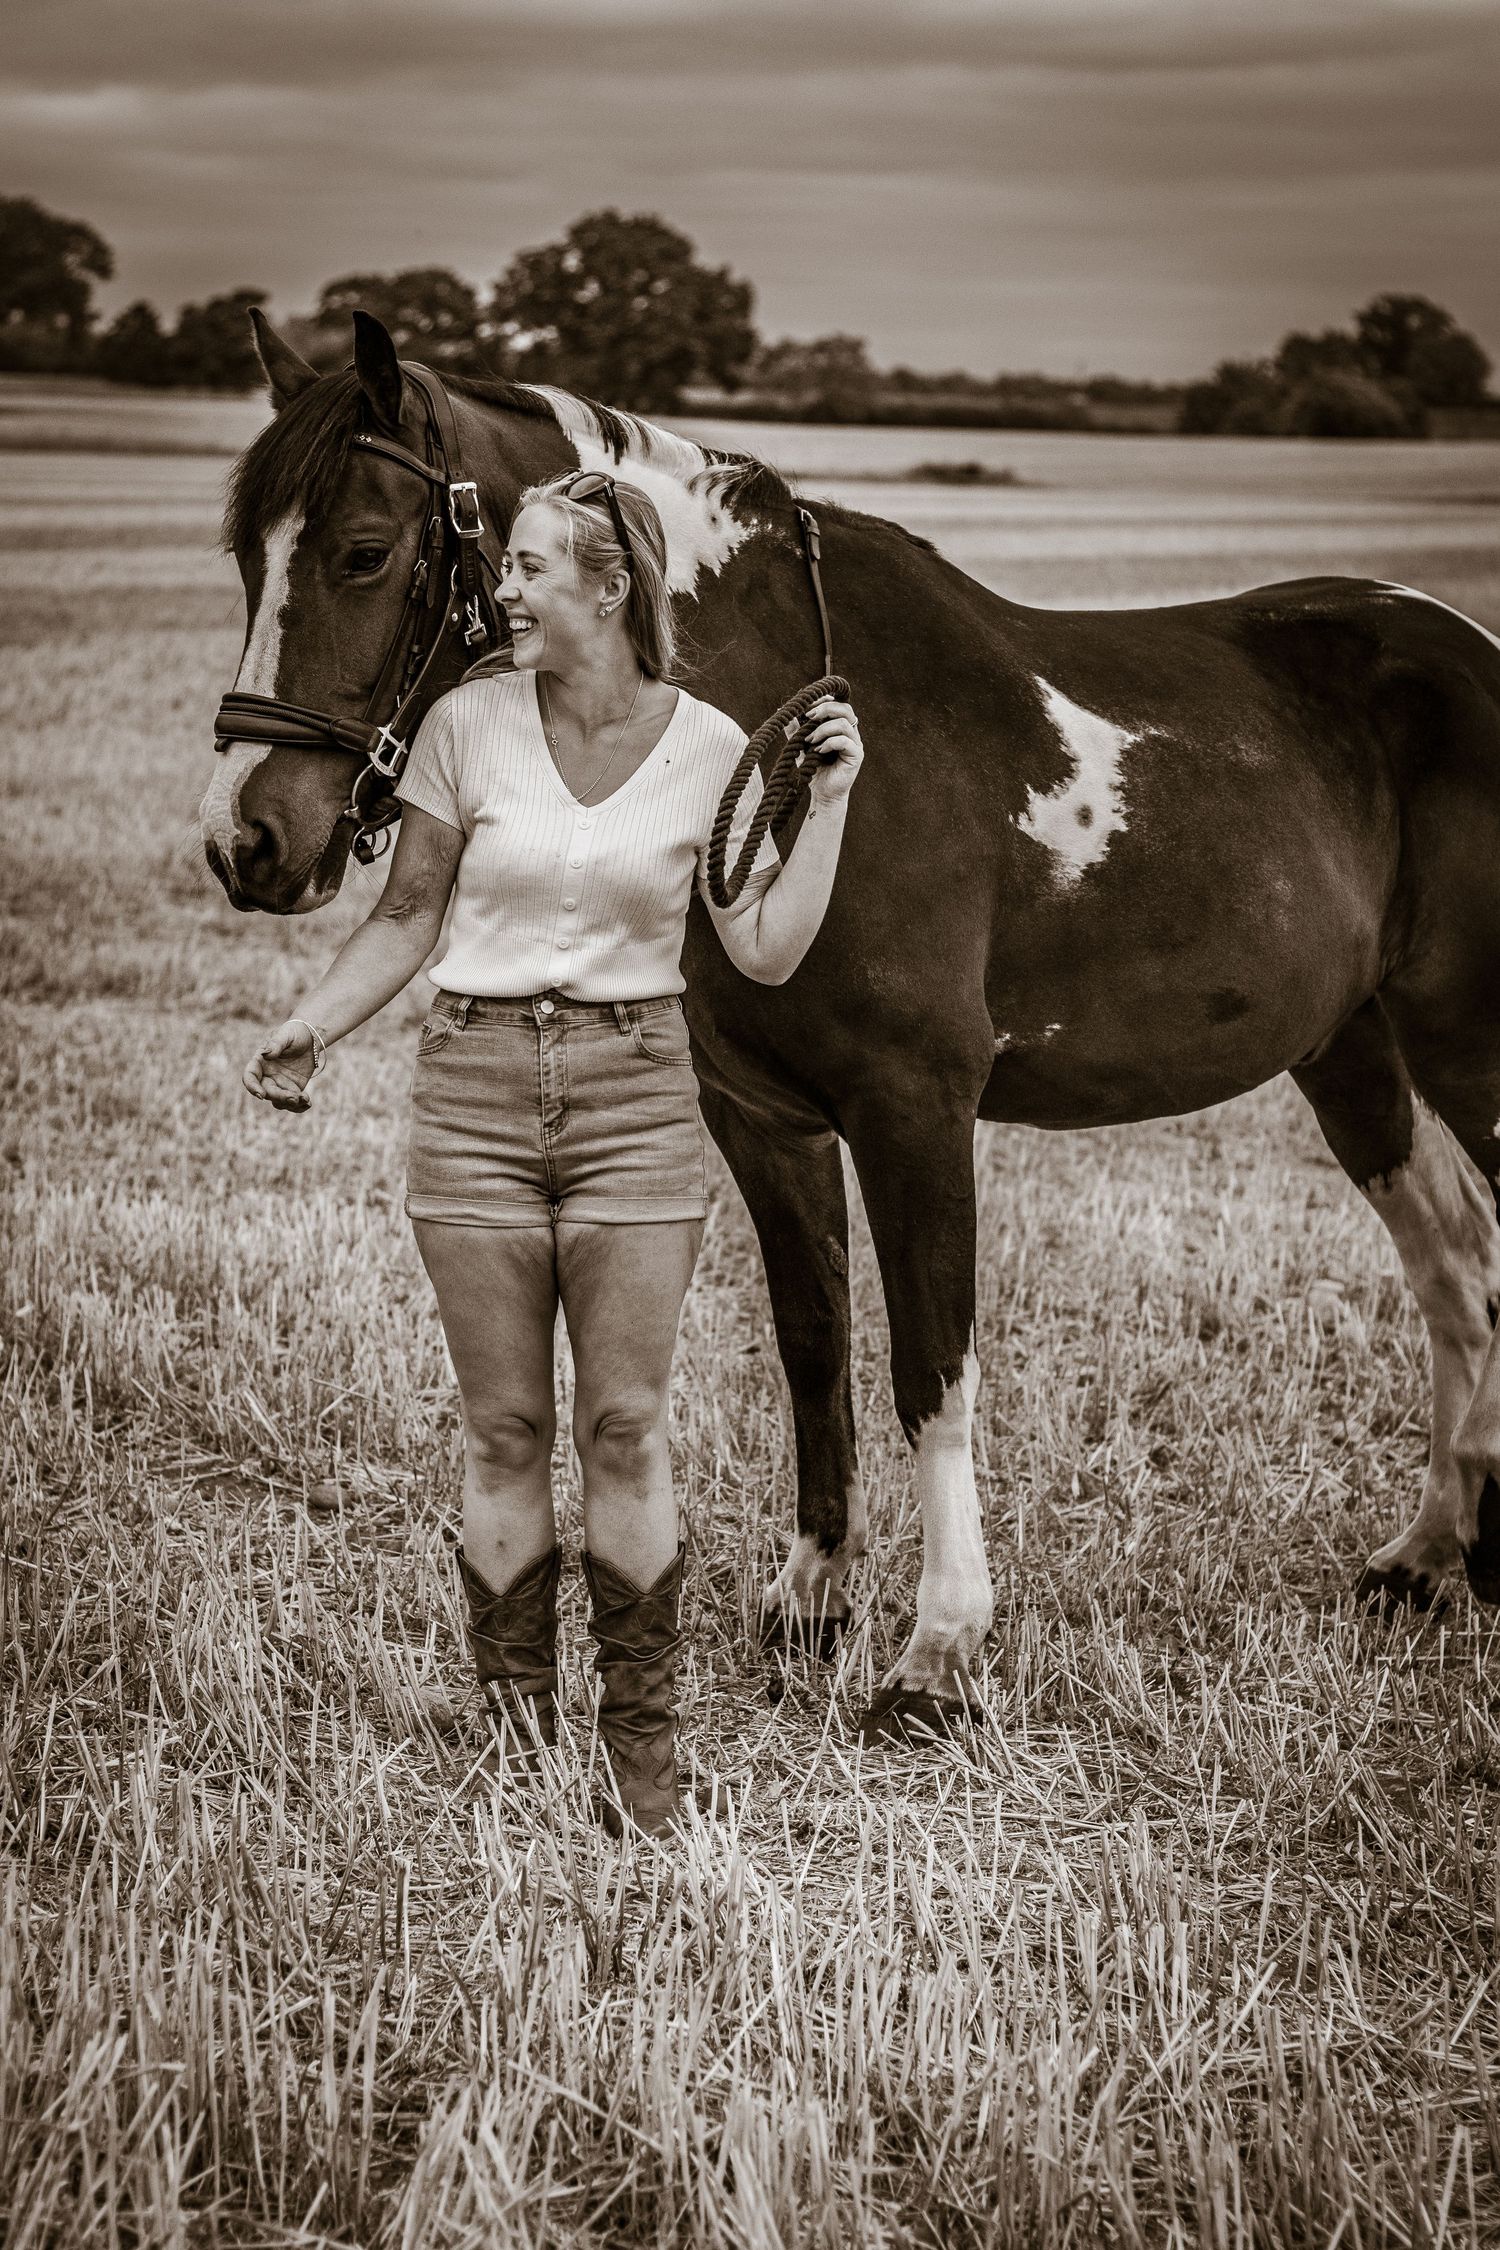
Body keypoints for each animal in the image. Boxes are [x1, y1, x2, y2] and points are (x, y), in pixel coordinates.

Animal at [202, 308, 1500, 1741]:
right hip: (1355, 1048)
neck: (803, 740)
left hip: (1467, 1041)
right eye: (247, 558)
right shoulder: (763, 1118)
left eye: (365, 552)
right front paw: (812, 1599)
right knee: (1456, 1263)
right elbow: (814, 1342)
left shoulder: (915, 1109)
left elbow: (932, 1364)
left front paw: (939, 1652)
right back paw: (1429, 1554)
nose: (246, 840)